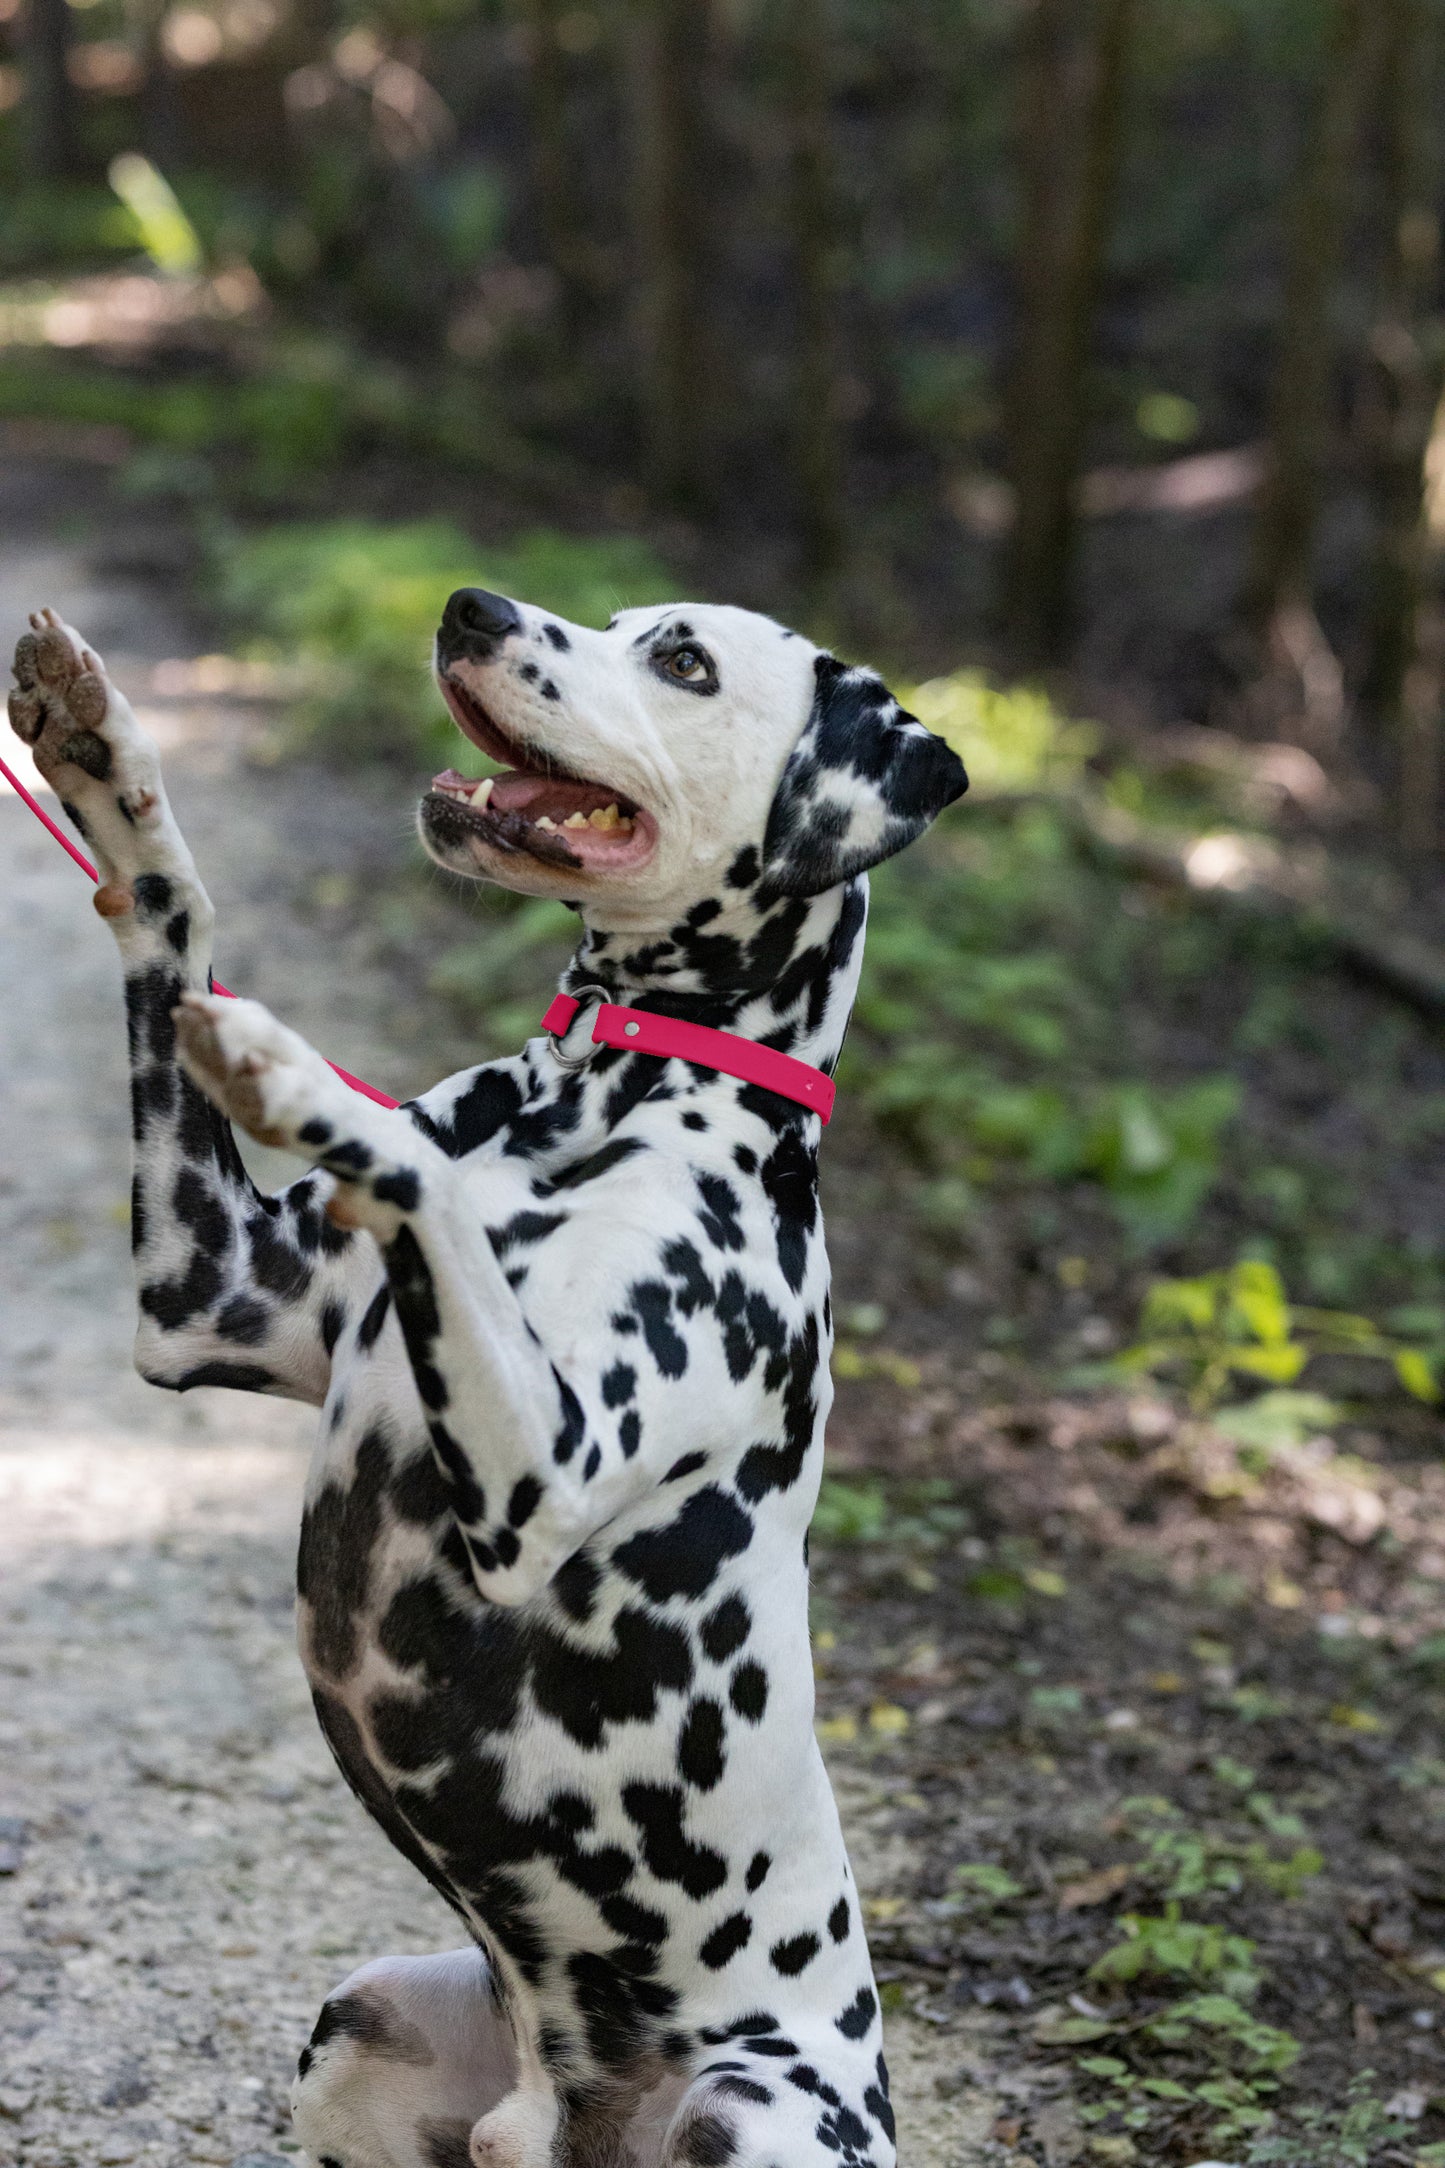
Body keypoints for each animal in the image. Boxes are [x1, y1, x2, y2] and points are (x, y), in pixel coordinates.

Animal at [11, 585, 966, 2168]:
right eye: (619, 615)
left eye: (681, 658)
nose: (471, 604)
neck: (607, 1095)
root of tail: (558, 2117)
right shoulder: (204, 1293)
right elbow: (170, 913)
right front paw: (105, 755)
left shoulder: (542, 1476)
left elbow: (419, 1180)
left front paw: (298, 1075)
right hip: (357, 2023)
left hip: (750, 2106)